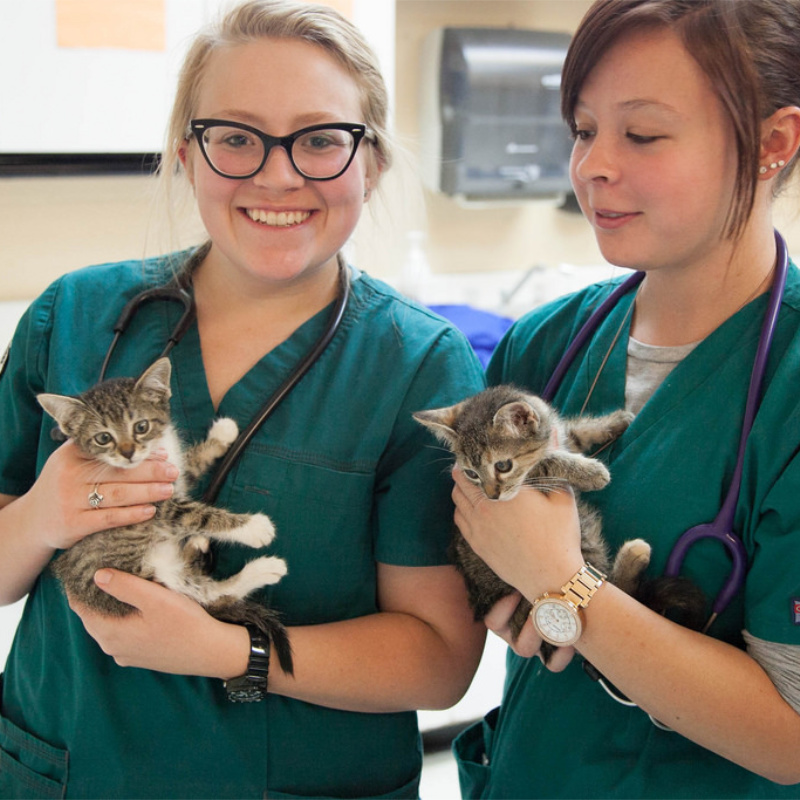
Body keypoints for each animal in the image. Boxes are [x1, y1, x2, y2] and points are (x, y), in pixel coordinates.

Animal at [38, 358, 294, 676]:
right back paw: (265, 567)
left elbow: (190, 465)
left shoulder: (176, 474)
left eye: (141, 426)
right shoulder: (157, 508)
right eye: (103, 438)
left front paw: (220, 436)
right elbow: (196, 514)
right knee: (209, 596)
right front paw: (252, 528)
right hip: (152, 578)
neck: (151, 456)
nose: (128, 453)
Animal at [416, 384, 704, 660]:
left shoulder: (558, 437)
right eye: (471, 474)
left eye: (502, 466)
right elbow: (548, 461)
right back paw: (633, 556)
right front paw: (591, 471)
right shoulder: (536, 479)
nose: (491, 496)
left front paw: (612, 422)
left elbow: (575, 432)